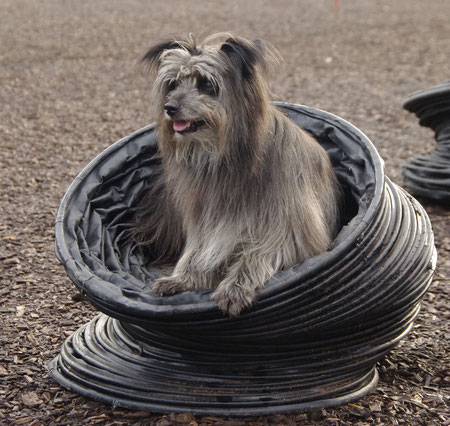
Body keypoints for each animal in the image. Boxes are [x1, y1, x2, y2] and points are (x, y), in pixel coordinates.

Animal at [135, 34, 340, 316]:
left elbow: (260, 251)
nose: (170, 107)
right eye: (172, 84)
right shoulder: (208, 216)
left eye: (206, 83)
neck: (227, 159)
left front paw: (235, 287)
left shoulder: (289, 222)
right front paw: (183, 278)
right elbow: (199, 251)